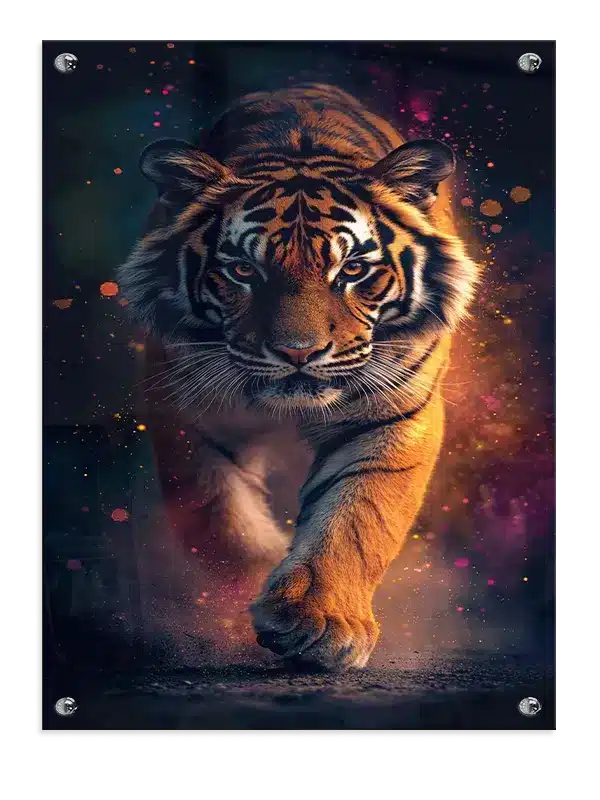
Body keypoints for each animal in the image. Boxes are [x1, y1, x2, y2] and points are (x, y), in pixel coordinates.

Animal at [118, 83, 478, 669]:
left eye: (352, 270)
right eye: (243, 270)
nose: (298, 352)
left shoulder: (396, 412)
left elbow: (356, 516)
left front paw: (319, 620)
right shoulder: (182, 407)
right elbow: (221, 520)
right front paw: (247, 593)